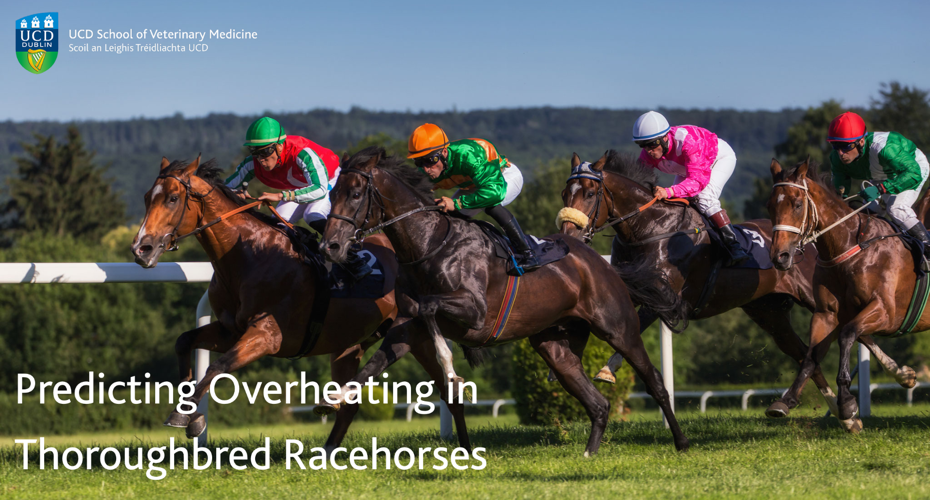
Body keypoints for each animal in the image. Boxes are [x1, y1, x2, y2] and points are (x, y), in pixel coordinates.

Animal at [130, 156, 468, 450]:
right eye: (146, 197)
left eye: (173, 198)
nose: (141, 249)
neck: (247, 256)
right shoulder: (229, 330)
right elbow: (184, 341)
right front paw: (191, 412)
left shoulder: (267, 335)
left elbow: (218, 366)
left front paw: (184, 415)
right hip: (349, 344)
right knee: (349, 403)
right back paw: (327, 451)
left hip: (414, 334)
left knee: (449, 391)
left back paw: (464, 447)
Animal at [320, 146, 688, 456]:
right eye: (332, 194)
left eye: (355, 194)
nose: (330, 246)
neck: (429, 245)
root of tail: (602, 263)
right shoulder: (406, 328)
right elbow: (373, 364)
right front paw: (335, 398)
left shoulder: (476, 314)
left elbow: (430, 309)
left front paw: (452, 372)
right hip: (554, 346)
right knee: (597, 403)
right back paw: (589, 453)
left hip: (618, 327)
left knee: (654, 380)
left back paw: (681, 442)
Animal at [560, 151, 912, 422]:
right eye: (565, 194)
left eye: (589, 194)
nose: (569, 234)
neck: (651, 229)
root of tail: (808, 240)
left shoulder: (666, 295)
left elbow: (635, 322)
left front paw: (606, 370)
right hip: (768, 312)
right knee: (805, 353)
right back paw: (839, 412)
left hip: (813, 298)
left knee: (855, 331)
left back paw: (899, 375)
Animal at [764, 158, 928, 432]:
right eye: (770, 205)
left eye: (797, 204)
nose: (780, 257)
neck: (849, 246)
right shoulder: (826, 314)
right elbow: (810, 356)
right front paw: (786, 400)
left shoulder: (886, 312)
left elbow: (848, 334)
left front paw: (847, 403)